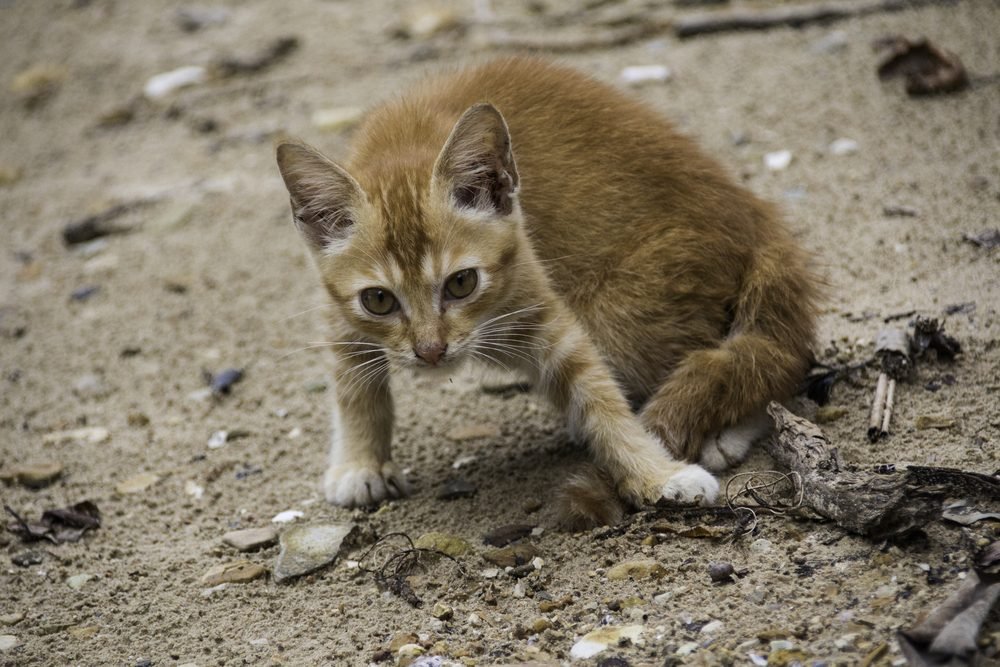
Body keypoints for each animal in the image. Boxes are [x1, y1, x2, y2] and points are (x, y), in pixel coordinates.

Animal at [276, 56, 820, 528]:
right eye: (379, 300)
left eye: (461, 283)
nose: (431, 352)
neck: (401, 146)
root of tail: (756, 218)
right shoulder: (338, 316)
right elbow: (354, 387)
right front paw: (360, 463)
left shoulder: (552, 318)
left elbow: (602, 402)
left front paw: (655, 473)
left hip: (622, 316)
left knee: (765, 365)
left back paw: (727, 433)